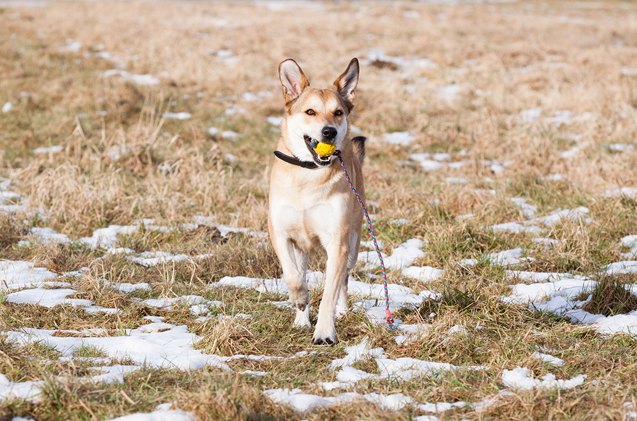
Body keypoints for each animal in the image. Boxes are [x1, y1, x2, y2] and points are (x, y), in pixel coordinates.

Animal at [266, 56, 366, 344]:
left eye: (338, 112)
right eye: (310, 112)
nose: (329, 132)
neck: (308, 176)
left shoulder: (338, 241)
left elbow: (330, 292)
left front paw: (324, 333)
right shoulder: (280, 233)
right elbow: (293, 276)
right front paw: (300, 300)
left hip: (353, 243)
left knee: (344, 279)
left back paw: (342, 310)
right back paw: (301, 318)